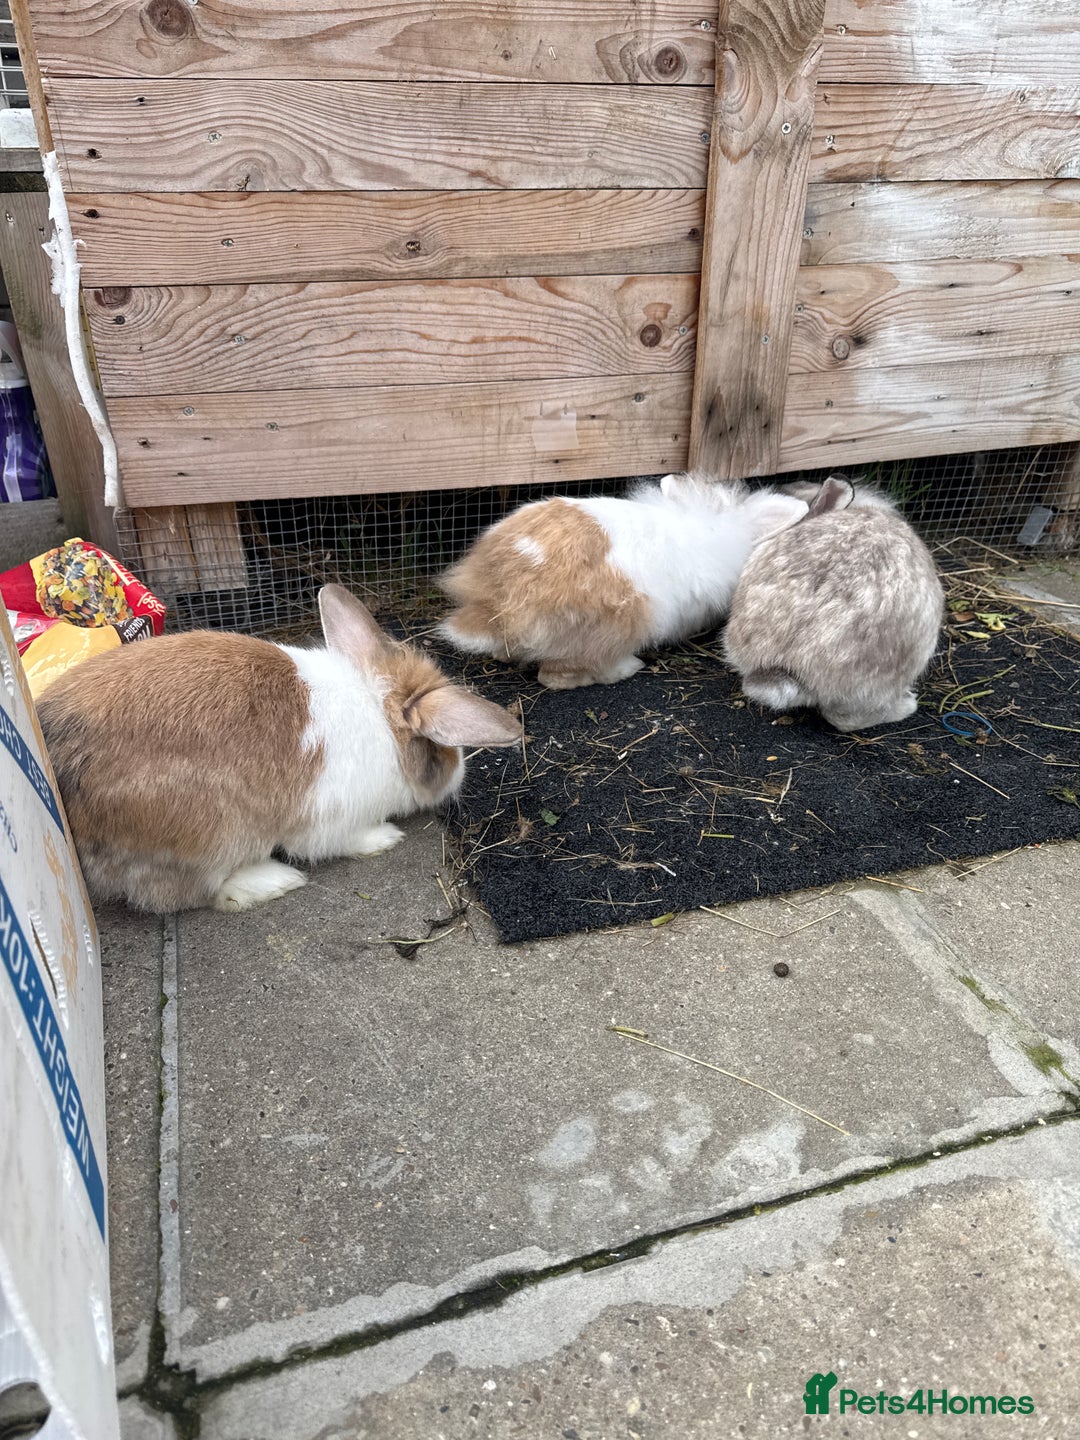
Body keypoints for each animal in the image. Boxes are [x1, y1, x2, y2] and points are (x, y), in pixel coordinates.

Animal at [36, 584, 522, 913]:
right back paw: (276, 881)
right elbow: (340, 840)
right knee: (190, 893)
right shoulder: (330, 822)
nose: (458, 773)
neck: (379, 710)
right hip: (213, 833)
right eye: (442, 750)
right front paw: (385, 837)